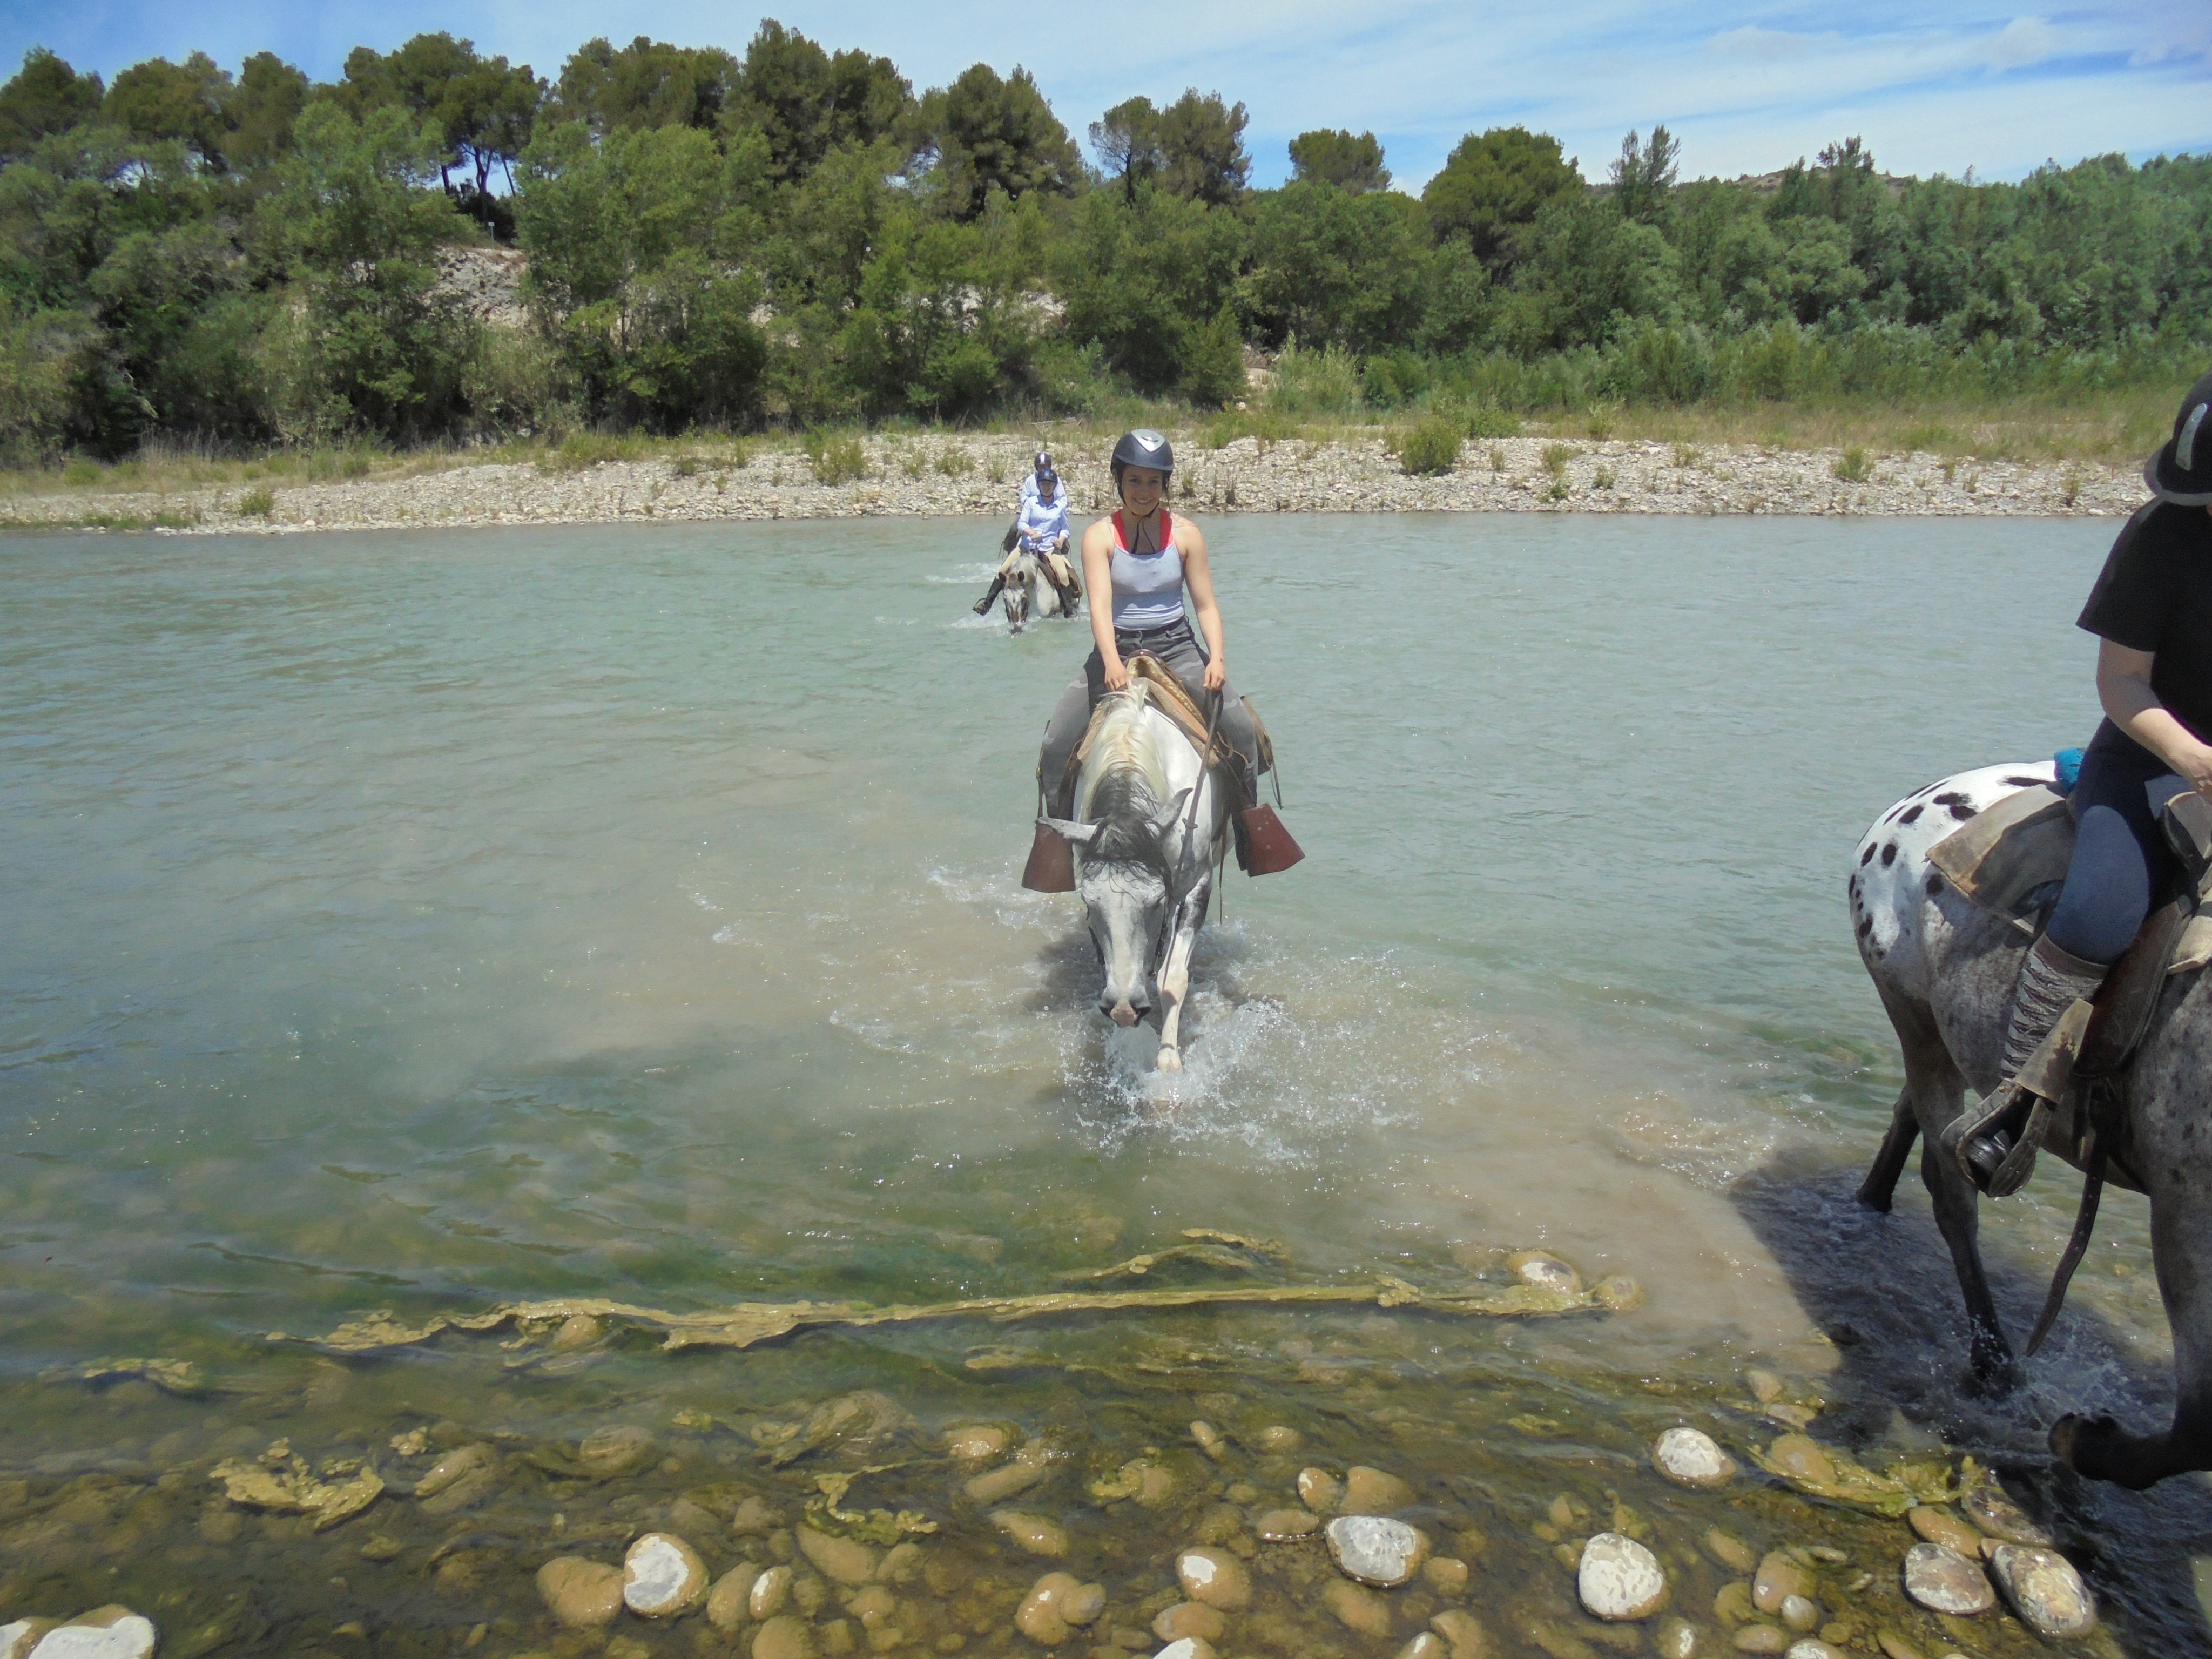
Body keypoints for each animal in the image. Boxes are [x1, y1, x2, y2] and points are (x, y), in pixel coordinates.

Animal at [1038, 682, 1228, 1073]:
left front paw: (1169, 1063)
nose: (1126, 1008)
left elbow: (1172, 979)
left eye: (1156, 902)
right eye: (1089, 904)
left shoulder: (1196, 886)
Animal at [1852, 759, 2212, 1489]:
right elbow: (2199, 1423)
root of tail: (1908, 809)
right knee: (1950, 1188)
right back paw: (1994, 1366)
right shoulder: (2186, 1204)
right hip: (1914, 1018)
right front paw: (2083, 1441)